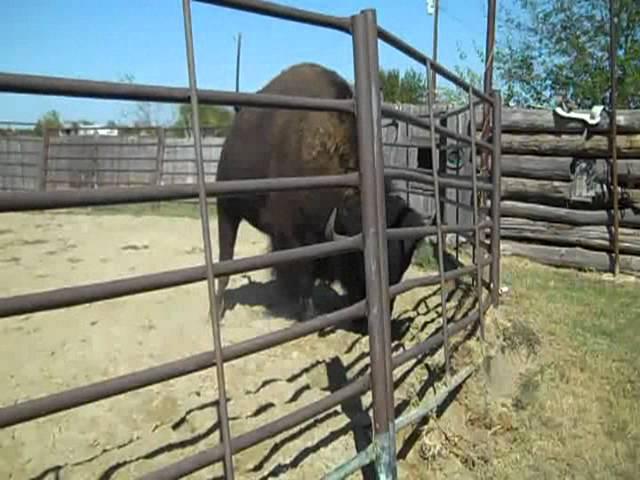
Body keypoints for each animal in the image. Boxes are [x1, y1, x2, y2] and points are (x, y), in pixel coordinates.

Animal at [216, 62, 430, 320]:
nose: (365, 318)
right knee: (225, 257)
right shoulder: (293, 237)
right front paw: (309, 314)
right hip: (227, 210)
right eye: (358, 262)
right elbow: (304, 275)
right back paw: (217, 309)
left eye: (402, 267)